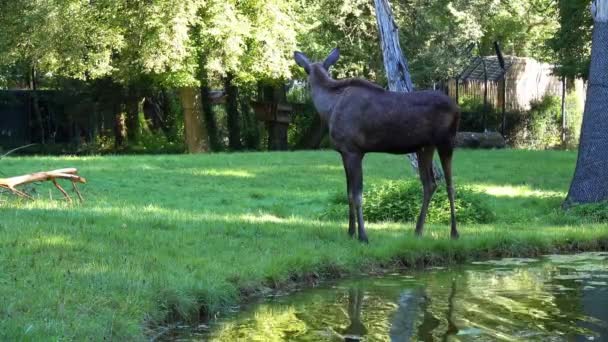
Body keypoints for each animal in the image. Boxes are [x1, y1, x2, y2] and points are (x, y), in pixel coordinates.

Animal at [294, 48, 460, 243]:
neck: (329, 108)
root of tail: (457, 108)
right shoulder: (343, 152)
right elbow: (349, 193)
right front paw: (350, 232)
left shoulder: (354, 150)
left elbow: (357, 195)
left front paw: (363, 236)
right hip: (425, 147)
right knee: (430, 184)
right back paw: (418, 230)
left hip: (446, 141)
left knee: (449, 184)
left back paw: (454, 232)